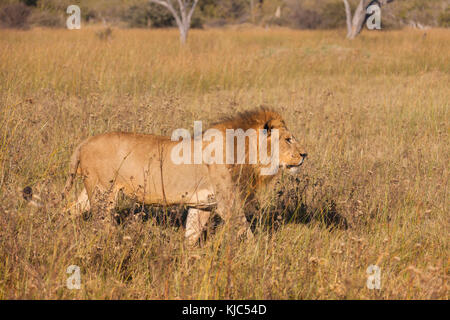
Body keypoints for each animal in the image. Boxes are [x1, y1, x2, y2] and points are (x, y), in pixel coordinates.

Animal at [62, 107, 306, 245]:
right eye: (288, 139)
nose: (305, 154)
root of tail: (84, 143)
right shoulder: (228, 204)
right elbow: (245, 232)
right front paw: (256, 255)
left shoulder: (203, 205)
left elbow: (191, 236)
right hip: (104, 192)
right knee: (101, 224)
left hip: (92, 191)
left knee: (69, 211)